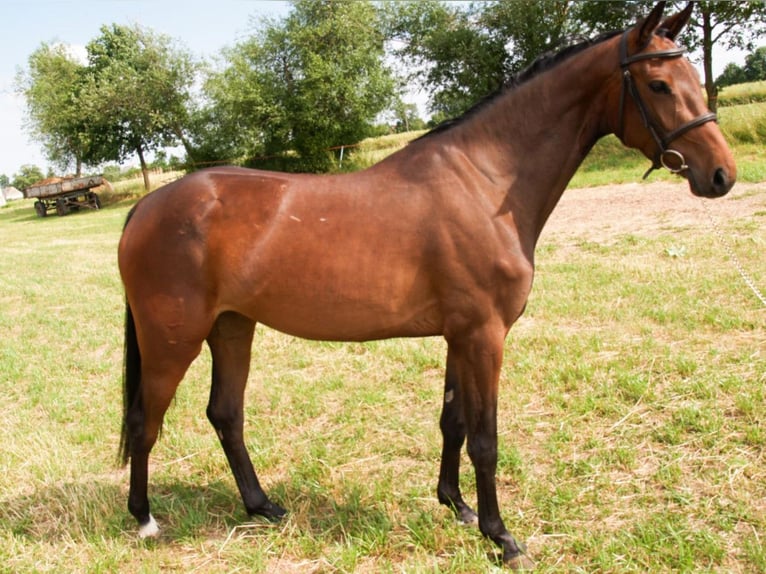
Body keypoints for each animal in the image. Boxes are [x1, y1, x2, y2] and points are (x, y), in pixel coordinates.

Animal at [118, 2, 735, 568]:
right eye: (658, 84)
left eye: (693, 78)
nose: (722, 175)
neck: (485, 182)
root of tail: (146, 206)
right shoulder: (484, 335)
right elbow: (485, 439)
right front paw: (502, 538)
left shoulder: (460, 335)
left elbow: (453, 422)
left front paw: (458, 507)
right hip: (173, 339)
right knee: (147, 419)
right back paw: (145, 519)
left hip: (231, 328)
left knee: (225, 414)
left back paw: (261, 505)